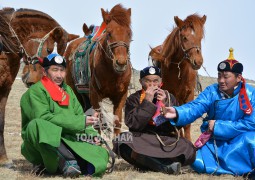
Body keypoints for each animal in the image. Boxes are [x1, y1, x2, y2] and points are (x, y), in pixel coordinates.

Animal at [65, 3, 131, 135]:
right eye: (109, 33)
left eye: (129, 33)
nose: (121, 63)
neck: (113, 73)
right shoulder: (95, 96)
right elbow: (98, 123)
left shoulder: (121, 96)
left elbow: (117, 123)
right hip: (75, 90)